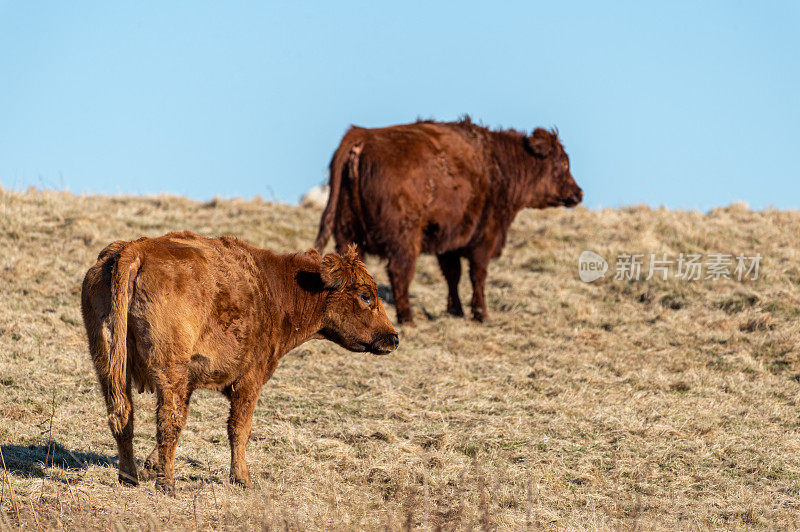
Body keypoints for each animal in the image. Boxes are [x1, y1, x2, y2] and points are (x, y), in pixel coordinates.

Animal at [79, 233, 398, 494]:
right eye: (366, 296)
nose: (393, 338)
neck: (275, 289)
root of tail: (137, 248)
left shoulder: (190, 382)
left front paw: (150, 465)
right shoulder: (249, 379)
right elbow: (239, 428)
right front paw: (242, 478)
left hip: (107, 363)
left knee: (122, 416)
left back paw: (130, 477)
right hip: (170, 369)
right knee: (168, 420)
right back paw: (167, 484)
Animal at [316, 117, 584, 324]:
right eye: (563, 162)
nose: (578, 193)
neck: (499, 165)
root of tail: (362, 134)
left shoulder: (449, 242)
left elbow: (452, 275)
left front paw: (456, 310)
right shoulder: (485, 237)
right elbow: (477, 274)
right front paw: (481, 313)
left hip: (347, 232)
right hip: (404, 239)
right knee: (400, 273)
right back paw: (408, 318)